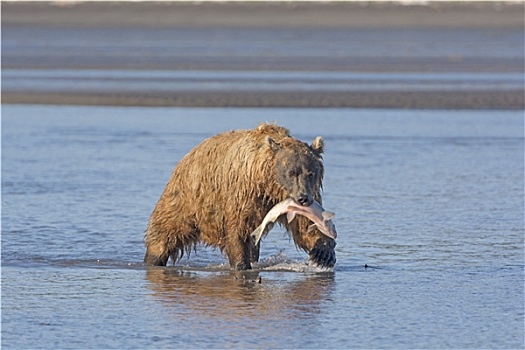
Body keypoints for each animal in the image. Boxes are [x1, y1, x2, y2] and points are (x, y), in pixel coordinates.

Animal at [143, 123, 336, 270]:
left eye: (310, 173)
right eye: (292, 172)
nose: (303, 198)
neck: (268, 185)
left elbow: (305, 225)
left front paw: (323, 253)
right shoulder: (242, 192)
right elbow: (238, 229)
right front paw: (241, 265)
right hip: (186, 200)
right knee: (164, 232)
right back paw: (153, 259)